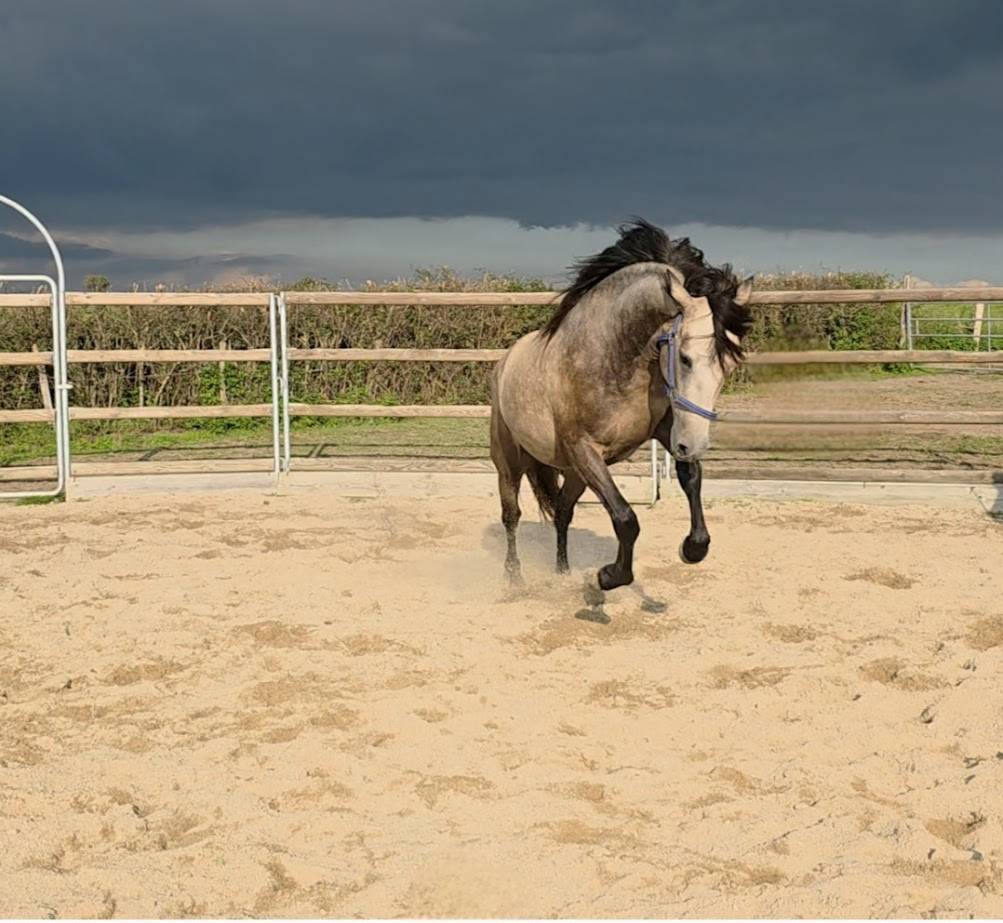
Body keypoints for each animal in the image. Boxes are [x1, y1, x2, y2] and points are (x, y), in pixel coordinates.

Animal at [489, 219, 753, 591]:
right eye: (685, 358)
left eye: (728, 367)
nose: (695, 444)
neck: (610, 357)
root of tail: (504, 362)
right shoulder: (585, 450)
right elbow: (626, 518)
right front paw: (609, 576)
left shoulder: (664, 431)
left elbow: (691, 478)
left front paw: (693, 548)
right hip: (509, 462)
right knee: (511, 515)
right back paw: (514, 578)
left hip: (574, 474)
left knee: (562, 513)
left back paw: (562, 572)